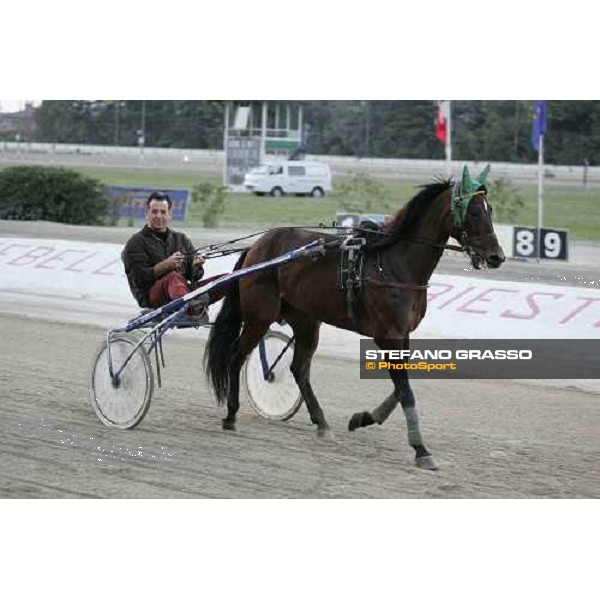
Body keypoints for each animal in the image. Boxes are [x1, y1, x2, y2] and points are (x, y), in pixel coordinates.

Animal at [204, 166, 504, 472]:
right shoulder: (387, 335)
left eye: (490, 209)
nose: (497, 256)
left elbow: (401, 388)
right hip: (259, 315)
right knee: (236, 356)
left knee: (299, 368)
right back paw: (231, 415)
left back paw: (322, 423)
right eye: (474, 211)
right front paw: (421, 450)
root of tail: (257, 247)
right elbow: (405, 391)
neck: (395, 264)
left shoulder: (403, 335)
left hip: (305, 320)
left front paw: (363, 419)